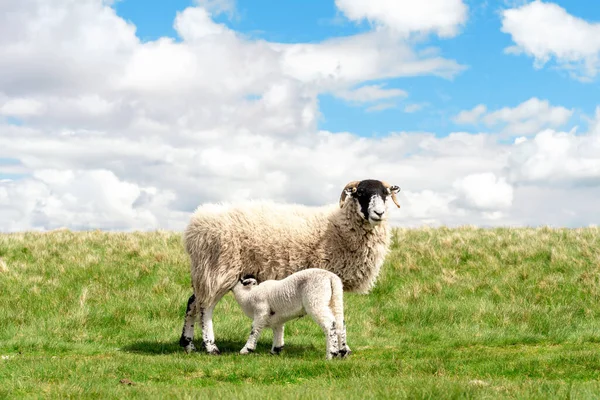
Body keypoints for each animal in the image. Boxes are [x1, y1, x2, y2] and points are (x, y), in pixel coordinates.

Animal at [180, 178, 400, 354]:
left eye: (385, 194)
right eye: (361, 193)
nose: (379, 213)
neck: (339, 226)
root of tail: (195, 224)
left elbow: (340, 315)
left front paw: (344, 348)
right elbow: (338, 317)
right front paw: (340, 348)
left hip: (206, 271)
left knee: (193, 302)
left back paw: (187, 344)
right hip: (218, 268)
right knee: (206, 307)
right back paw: (210, 347)